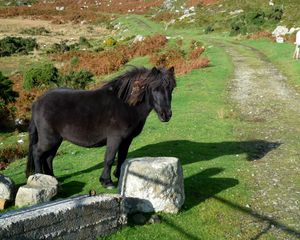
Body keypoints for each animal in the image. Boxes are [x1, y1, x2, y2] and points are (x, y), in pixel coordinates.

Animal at [25, 66, 177, 188]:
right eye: (155, 89)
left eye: (171, 88)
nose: (166, 115)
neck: (126, 105)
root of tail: (37, 102)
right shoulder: (115, 138)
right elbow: (109, 159)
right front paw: (107, 181)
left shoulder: (126, 140)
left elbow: (122, 157)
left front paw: (119, 175)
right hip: (49, 139)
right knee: (37, 153)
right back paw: (40, 178)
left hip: (56, 140)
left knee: (48, 158)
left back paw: (53, 179)